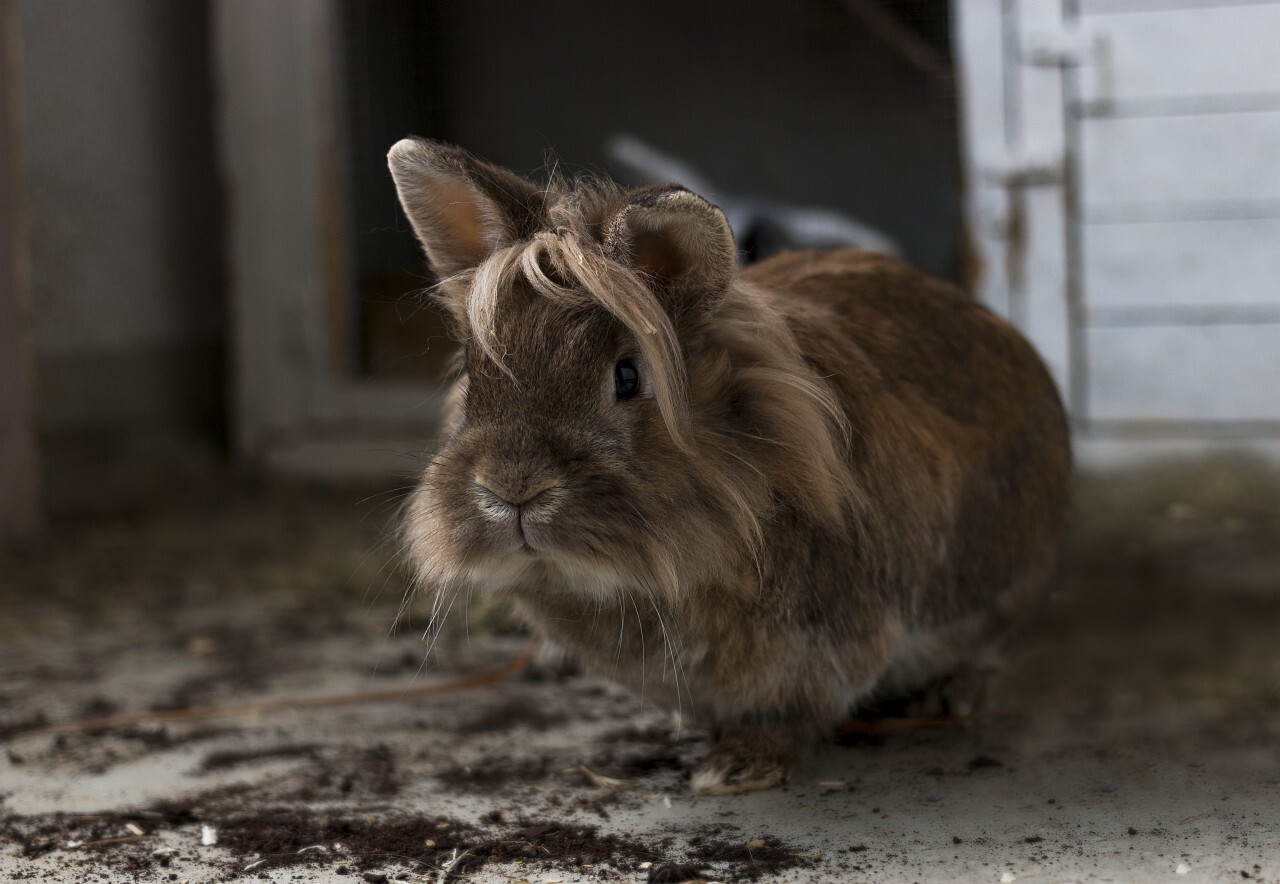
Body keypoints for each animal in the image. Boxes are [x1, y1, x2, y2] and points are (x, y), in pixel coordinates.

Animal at [386, 138, 1070, 793]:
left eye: (627, 377)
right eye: (476, 376)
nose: (514, 487)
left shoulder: (818, 653)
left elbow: (788, 717)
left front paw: (737, 768)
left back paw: (952, 696)